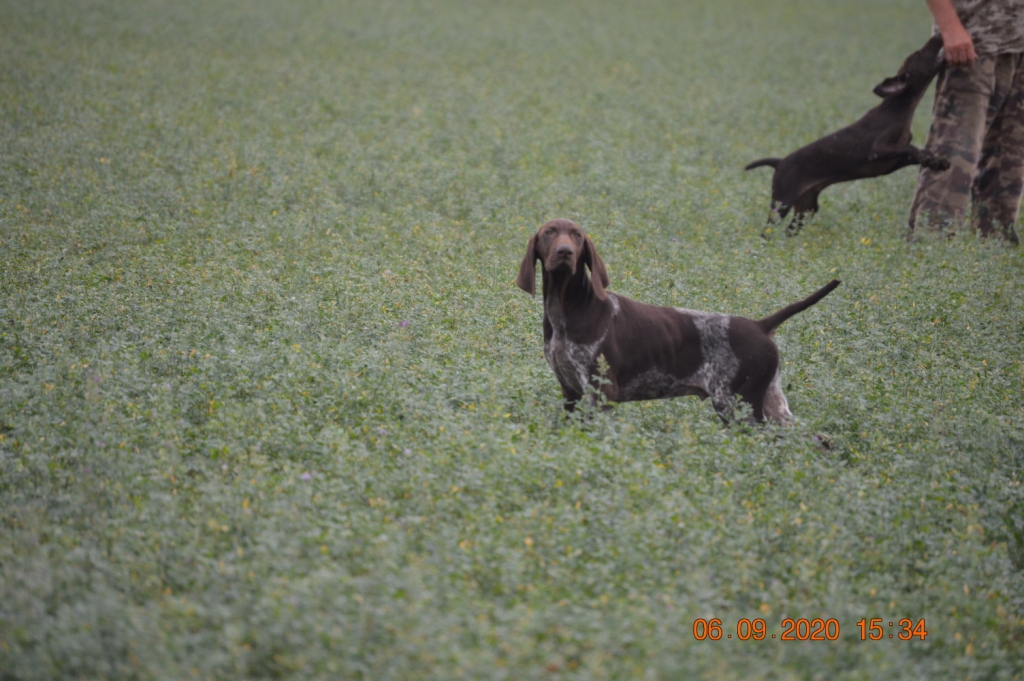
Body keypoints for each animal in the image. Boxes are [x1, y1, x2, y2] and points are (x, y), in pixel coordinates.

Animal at [516, 219, 840, 422]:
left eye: (577, 236)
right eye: (549, 232)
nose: (565, 252)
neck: (566, 311)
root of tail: (760, 325)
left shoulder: (601, 392)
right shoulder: (569, 391)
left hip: (738, 405)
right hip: (772, 406)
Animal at [746, 35, 950, 235]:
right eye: (920, 53)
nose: (938, 35)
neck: (898, 108)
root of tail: (779, 162)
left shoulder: (892, 161)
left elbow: (912, 152)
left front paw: (935, 160)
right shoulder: (877, 151)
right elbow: (909, 148)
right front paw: (930, 158)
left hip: (806, 207)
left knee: (789, 231)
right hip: (782, 203)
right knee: (767, 232)